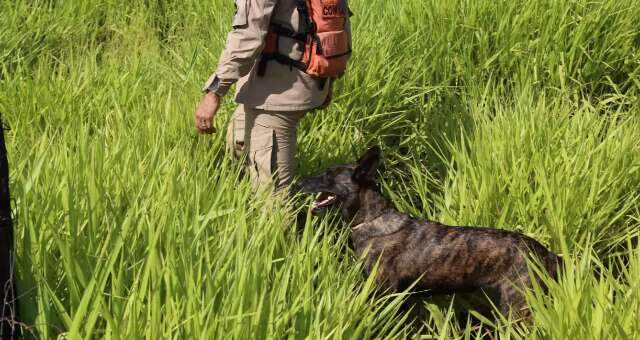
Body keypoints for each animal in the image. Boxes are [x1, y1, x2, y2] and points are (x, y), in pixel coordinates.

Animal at [296, 146, 560, 318]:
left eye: (328, 176)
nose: (299, 182)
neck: (373, 218)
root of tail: (547, 254)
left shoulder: (383, 291)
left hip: (517, 306)